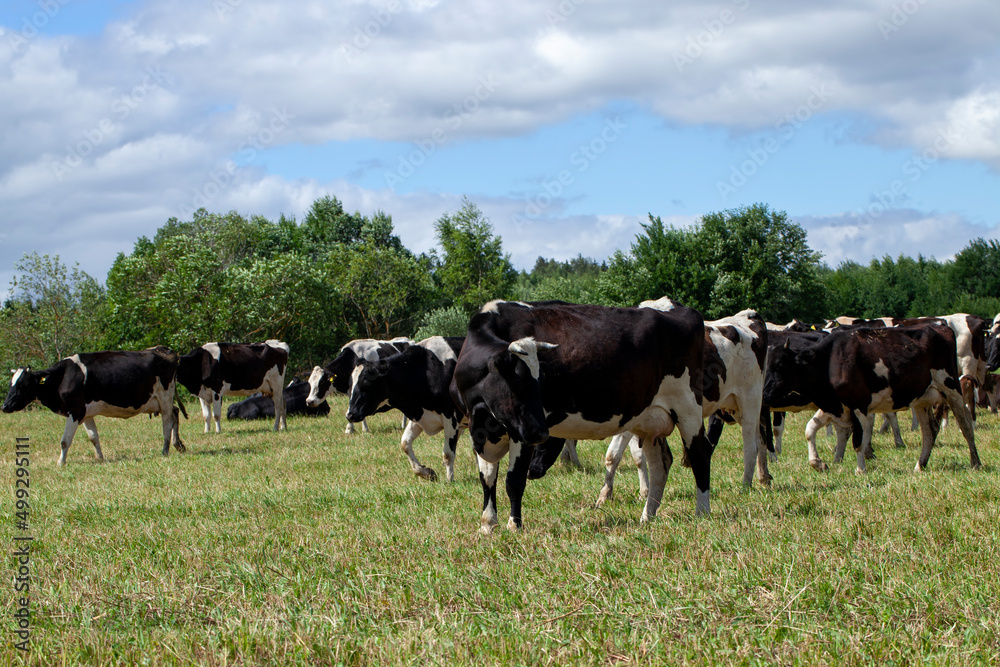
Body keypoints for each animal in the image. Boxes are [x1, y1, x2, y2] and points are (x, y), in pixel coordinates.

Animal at [1, 348, 187, 468]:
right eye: (11, 384)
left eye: (23, 384)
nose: (4, 406)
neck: (64, 377)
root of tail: (165, 350)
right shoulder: (86, 413)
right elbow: (93, 437)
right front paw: (100, 458)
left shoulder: (75, 411)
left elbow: (64, 441)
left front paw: (60, 462)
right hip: (159, 401)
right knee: (175, 413)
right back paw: (178, 445)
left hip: (165, 396)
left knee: (167, 423)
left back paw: (165, 450)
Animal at [346, 336, 466, 482]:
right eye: (350, 384)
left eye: (366, 382)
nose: (350, 415)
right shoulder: (419, 414)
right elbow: (405, 443)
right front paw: (425, 472)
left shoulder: (451, 416)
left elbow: (448, 454)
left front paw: (449, 480)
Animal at [450, 300, 708, 536]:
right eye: (517, 380)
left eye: (541, 381)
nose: (541, 433)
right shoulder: (480, 432)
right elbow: (487, 479)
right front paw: (488, 523)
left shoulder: (520, 433)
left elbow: (514, 481)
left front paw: (514, 525)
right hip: (650, 420)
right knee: (660, 465)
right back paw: (647, 517)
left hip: (688, 408)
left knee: (699, 455)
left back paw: (702, 513)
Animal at [592, 306, 772, 508]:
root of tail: (749, 314)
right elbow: (623, 456)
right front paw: (610, 495)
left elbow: (620, 454)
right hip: (736, 406)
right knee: (761, 437)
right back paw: (763, 477)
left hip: (749, 399)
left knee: (750, 445)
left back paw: (745, 486)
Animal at [760, 324, 980, 474]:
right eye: (765, 366)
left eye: (780, 365)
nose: (762, 394)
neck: (830, 362)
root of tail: (941, 327)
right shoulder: (835, 405)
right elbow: (810, 429)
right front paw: (818, 463)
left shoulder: (858, 404)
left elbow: (858, 440)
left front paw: (860, 469)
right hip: (921, 398)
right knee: (929, 431)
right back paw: (920, 465)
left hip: (951, 387)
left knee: (965, 425)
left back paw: (975, 462)